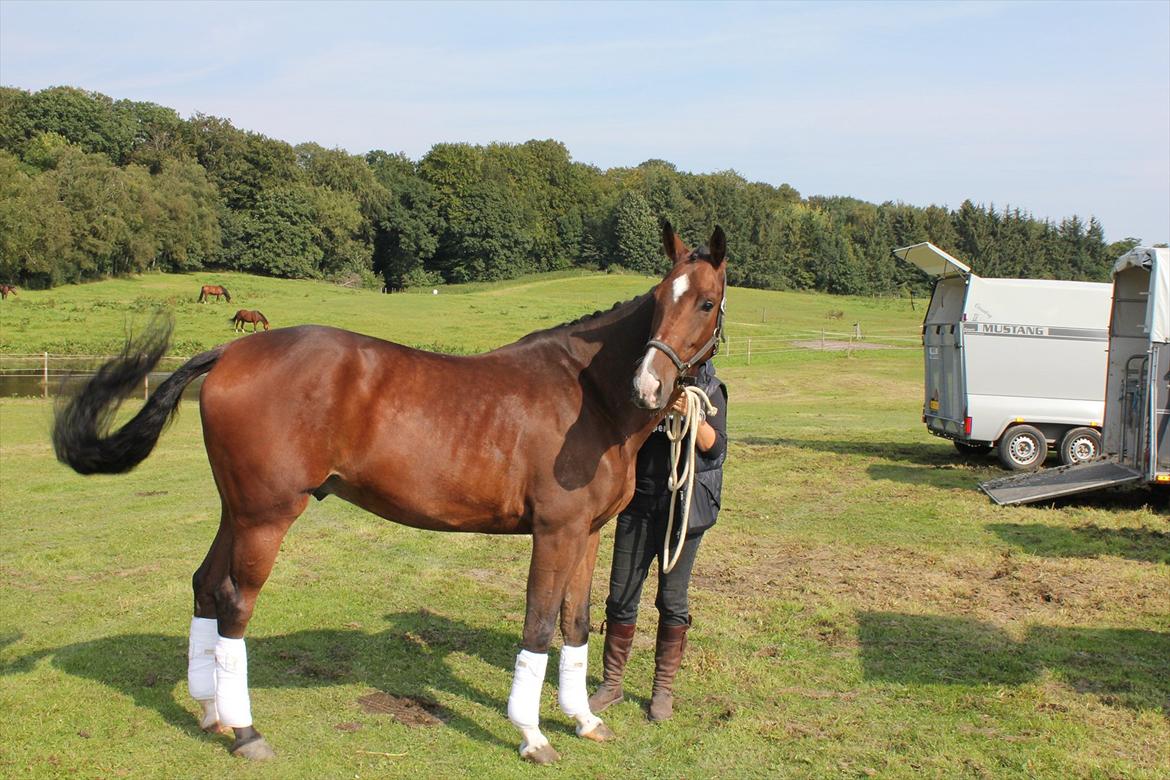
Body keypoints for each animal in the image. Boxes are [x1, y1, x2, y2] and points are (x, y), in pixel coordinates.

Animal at [57, 222, 730, 767]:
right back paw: (246, 731)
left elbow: (577, 622)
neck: (586, 397)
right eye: (659, 300)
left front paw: (585, 719)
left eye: (705, 301)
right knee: (233, 603)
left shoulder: (588, 533)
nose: (649, 385)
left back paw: (211, 712)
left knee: (204, 584)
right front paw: (532, 734)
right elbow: (538, 626)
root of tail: (233, 350)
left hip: (237, 510)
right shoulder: (555, 532)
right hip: (265, 518)